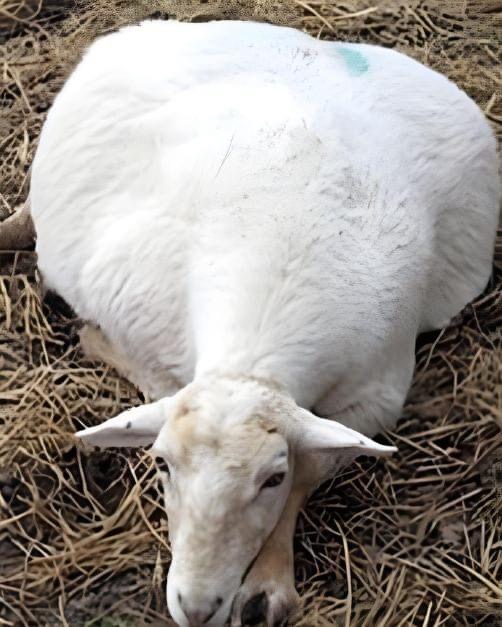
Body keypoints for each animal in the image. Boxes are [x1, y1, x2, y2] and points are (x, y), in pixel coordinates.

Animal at [29, 19, 500, 627]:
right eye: (161, 466)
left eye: (270, 478)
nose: (196, 607)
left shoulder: (376, 395)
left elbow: (311, 467)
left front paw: (268, 583)